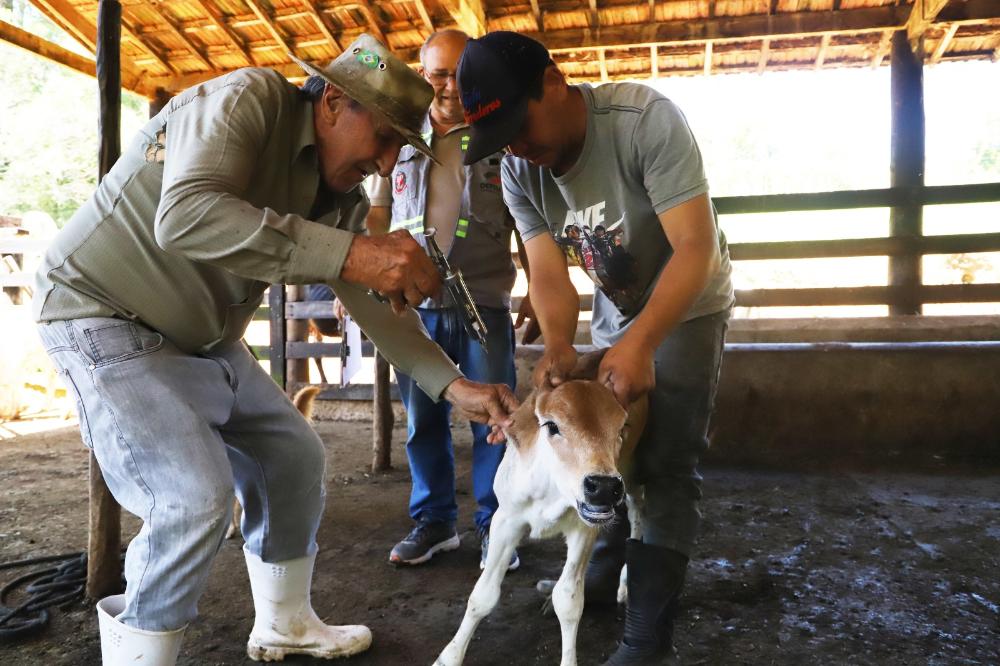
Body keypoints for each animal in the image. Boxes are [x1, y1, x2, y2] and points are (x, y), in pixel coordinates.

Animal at [434, 350, 644, 660]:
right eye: (552, 425)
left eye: (621, 429)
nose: (603, 487)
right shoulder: (505, 518)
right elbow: (483, 594)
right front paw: (448, 656)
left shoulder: (585, 527)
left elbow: (568, 600)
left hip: (632, 473)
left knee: (639, 514)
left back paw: (626, 584)